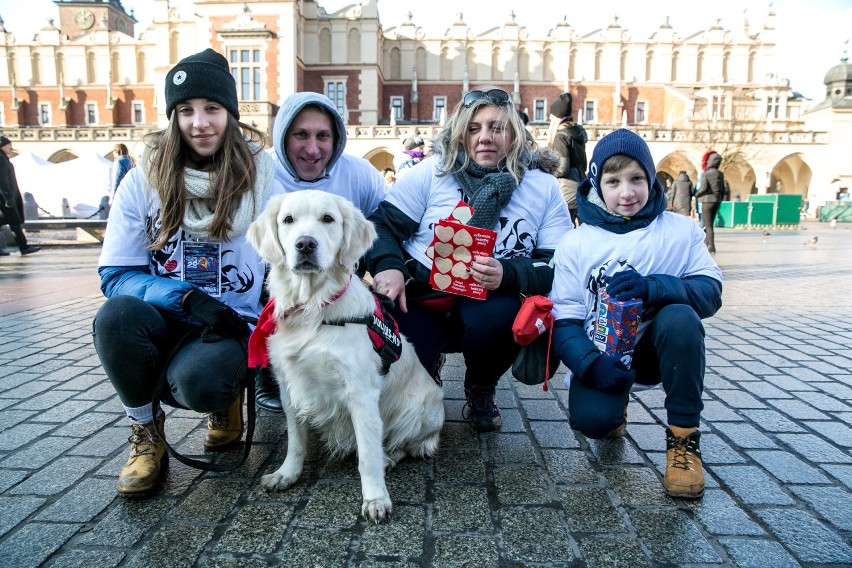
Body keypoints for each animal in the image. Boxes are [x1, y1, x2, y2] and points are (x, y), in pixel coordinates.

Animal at [248, 192, 442, 524]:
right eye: (288, 220)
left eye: (328, 219)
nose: (305, 244)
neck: (312, 308)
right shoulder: (289, 387)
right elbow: (296, 441)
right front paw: (287, 474)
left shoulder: (361, 393)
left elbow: (367, 455)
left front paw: (375, 499)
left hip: (421, 408)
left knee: (405, 444)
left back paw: (389, 457)